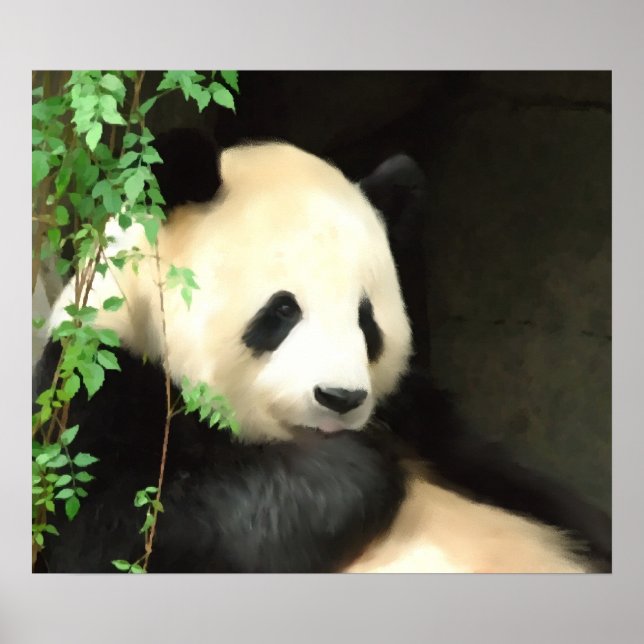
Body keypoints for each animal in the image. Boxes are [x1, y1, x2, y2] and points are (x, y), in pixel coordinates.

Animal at [33, 128, 610, 573]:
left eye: (366, 320)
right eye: (283, 310)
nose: (340, 397)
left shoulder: (429, 426)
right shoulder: (97, 390)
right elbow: (116, 530)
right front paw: (360, 469)